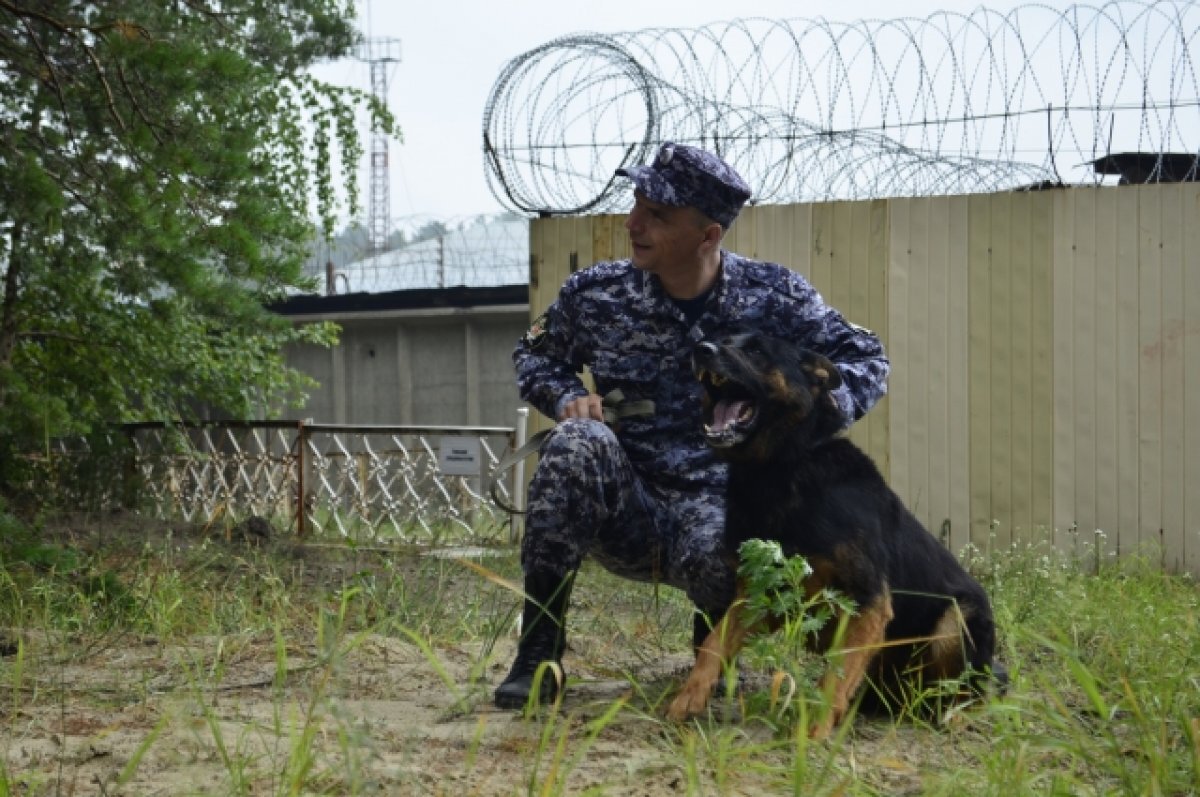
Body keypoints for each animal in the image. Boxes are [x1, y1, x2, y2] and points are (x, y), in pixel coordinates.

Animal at [672, 328, 998, 734]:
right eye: (722, 339)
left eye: (757, 350)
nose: (700, 350)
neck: (781, 466)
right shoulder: (759, 597)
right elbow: (714, 644)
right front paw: (688, 698)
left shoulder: (867, 600)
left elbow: (835, 676)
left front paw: (814, 730)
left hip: (957, 619)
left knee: (973, 691)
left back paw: (958, 716)